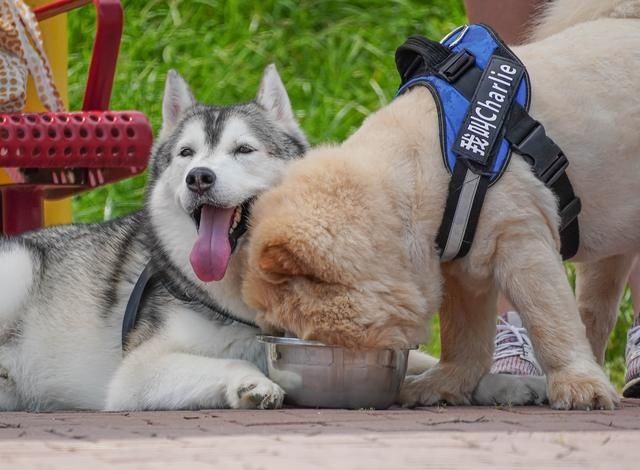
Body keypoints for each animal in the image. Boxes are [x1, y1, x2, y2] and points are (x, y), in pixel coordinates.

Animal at [0, 64, 308, 410]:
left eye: (244, 149)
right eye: (186, 153)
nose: (198, 177)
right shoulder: (137, 372)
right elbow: (230, 361)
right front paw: (251, 381)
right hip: (19, 266)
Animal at [244, 0, 640, 410]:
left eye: (294, 325)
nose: (279, 340)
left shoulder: (521, 242)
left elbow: (551, 321)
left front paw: (578, 386)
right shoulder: (462, 266)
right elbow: (464, 338)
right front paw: (444, 385)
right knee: (595, 311)